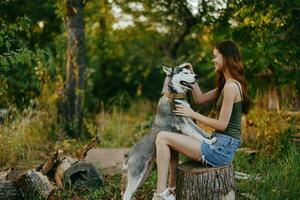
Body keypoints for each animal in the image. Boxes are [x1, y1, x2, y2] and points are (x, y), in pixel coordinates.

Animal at [121, 63, 216, 200]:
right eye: (185, 73)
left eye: (191, 72)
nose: (197, 76)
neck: (174, 96)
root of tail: (129, 154)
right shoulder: (181, 123)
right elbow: (196, 134)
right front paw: (208, 142)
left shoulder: (187, 119)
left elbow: (199, 130)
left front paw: (209, 137)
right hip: (136, 176)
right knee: (126, 195)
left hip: (143, 176)